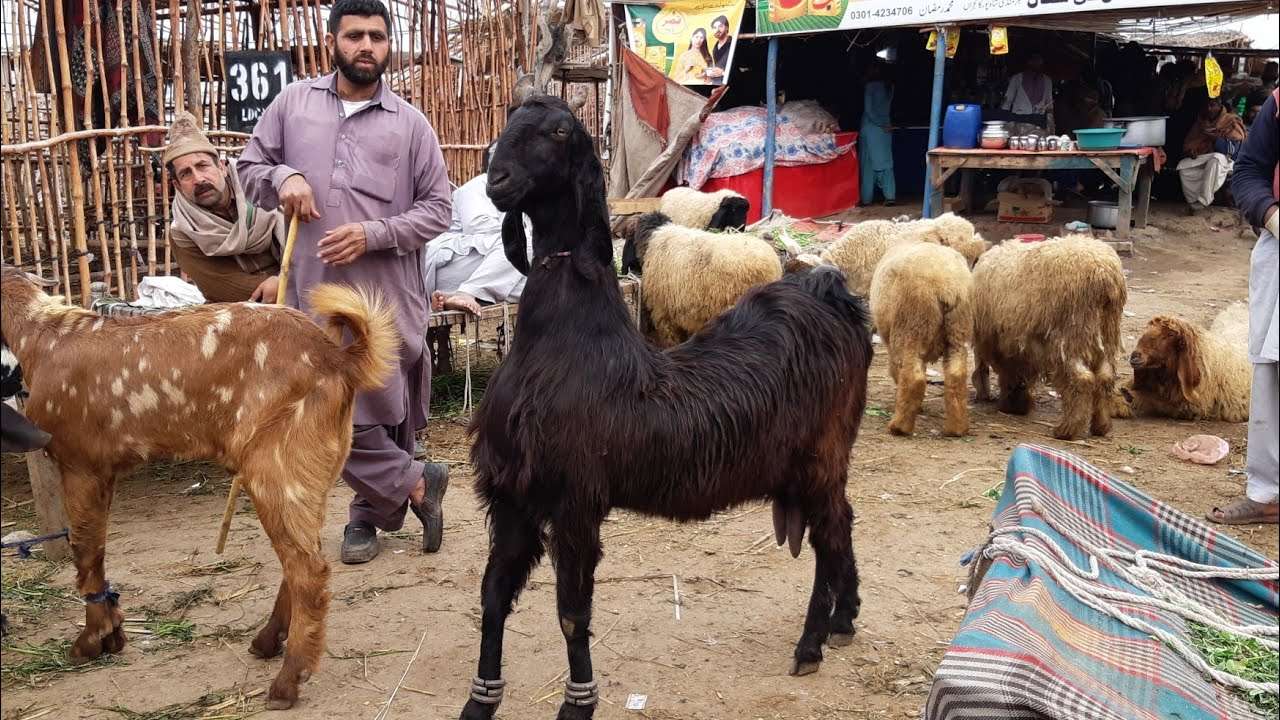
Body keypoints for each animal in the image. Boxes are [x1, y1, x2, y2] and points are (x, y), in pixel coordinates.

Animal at [0, 266, 398, 710]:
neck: (41, 336)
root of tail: (339, 358)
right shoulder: (104, 472)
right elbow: (96, 550)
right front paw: (113, 632)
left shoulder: (79, 463)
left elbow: (84, 551)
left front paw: (90, 641)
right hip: (315, 470)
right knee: (300, 558)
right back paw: (267, 641)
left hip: (278, 467)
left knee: (307, 568)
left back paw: (286, 682)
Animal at [457, 95, 873, 720]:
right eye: (508, 123)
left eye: (559, 131)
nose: (497, 180)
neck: (568, 338)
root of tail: (834, 295)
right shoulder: (512, 494)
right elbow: (492, 596)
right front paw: (480, 701)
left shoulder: (575, 499)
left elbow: (571, 611)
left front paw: (578, 703)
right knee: (842, 523)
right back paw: (843, 619)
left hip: (821, 455)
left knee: (828, 537)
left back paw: (810, 644)